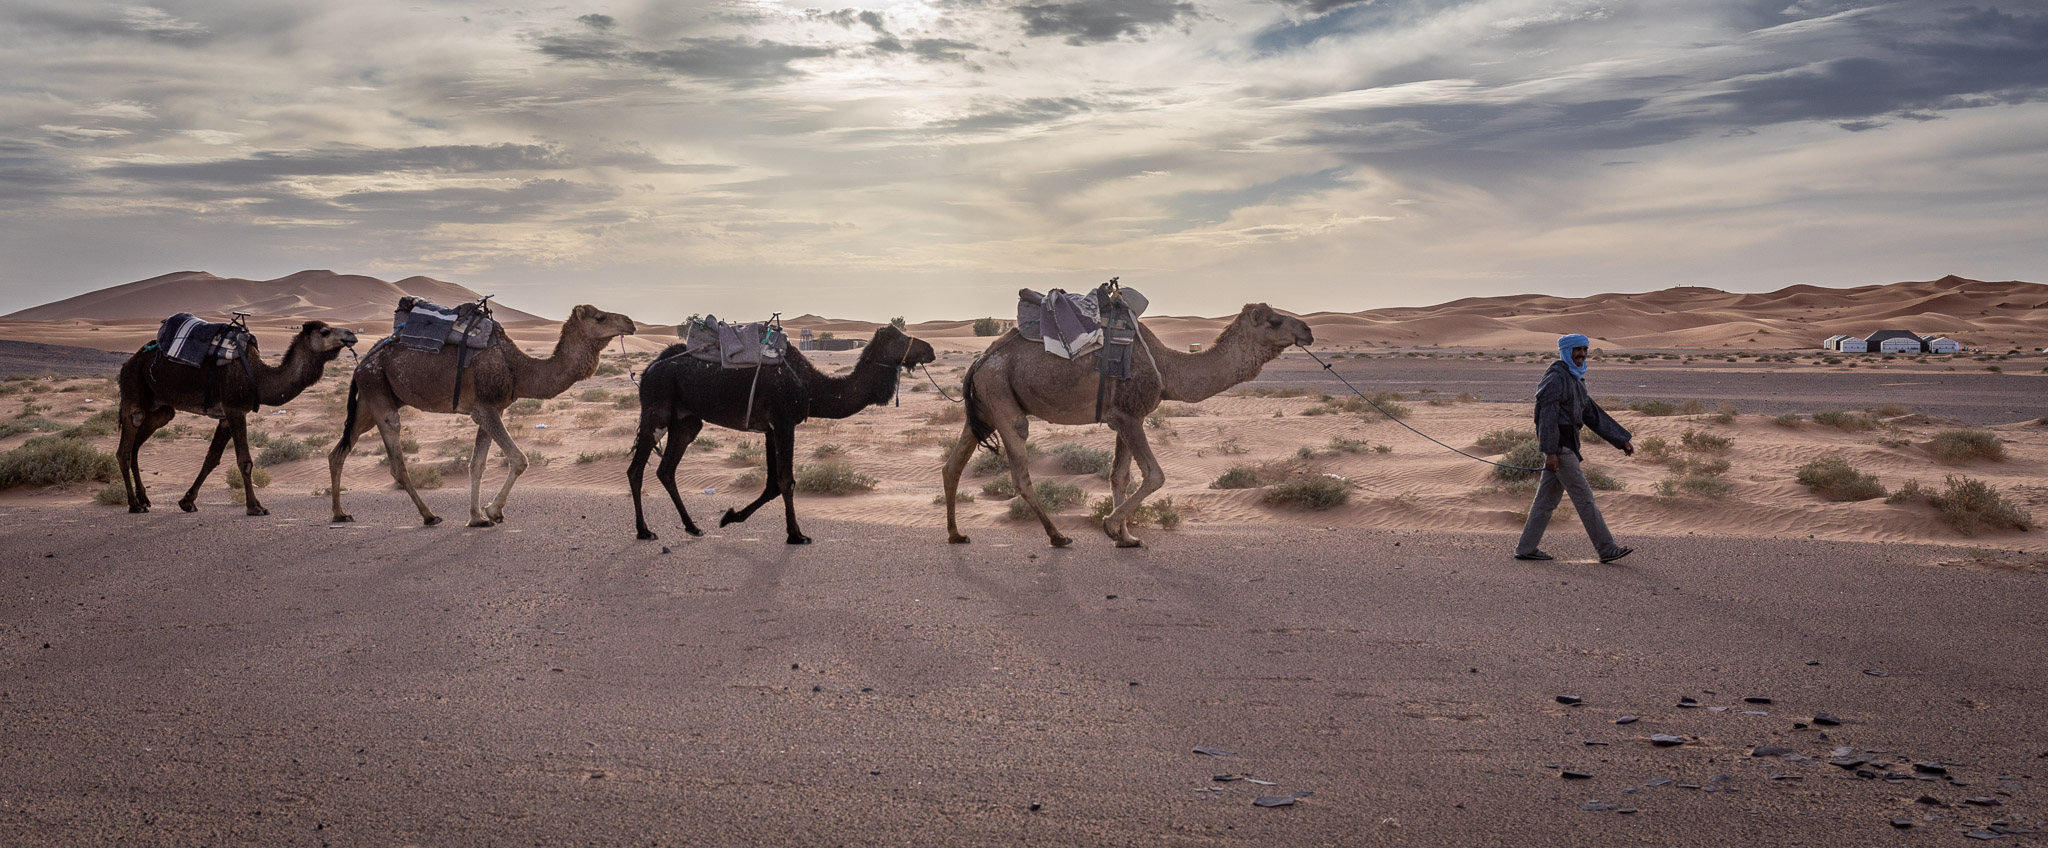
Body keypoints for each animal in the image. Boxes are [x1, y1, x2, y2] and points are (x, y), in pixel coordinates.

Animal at [115, 319, 360, 514]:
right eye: (325, 332)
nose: (351, 334)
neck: (259, 377)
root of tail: (129, 362)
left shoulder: (225, 416)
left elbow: (212, 458)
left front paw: (187, 501)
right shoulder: (234, 409)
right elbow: (245, 461)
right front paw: (255, 507)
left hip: (161, 408)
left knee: (137, 445)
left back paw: (144, 499)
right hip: (133, 389)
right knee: (125, 447)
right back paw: (134, 504)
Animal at [327, 305, 634, 528]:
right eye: (600, 317)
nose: (630, 322)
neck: (519, 370)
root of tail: (362, 362)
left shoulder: (491, 409)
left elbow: (477, 465)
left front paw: (476, 518)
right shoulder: (485, 409)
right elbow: (519, 459)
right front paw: (493, 511)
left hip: (369, 400)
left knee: (338, 451)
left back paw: (339, 514)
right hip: (377, 389)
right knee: (395, 456)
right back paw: (429, 515)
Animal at [626, 323, 937, 544]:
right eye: (898, 338)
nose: (930, 349)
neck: (812, 387)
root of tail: (649, 368)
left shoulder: (769, 429)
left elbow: (772, 485)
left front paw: (730, 517)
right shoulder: (785, 422)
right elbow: (787, 480)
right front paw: (797, 535)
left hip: (686, 421)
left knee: (666, 469)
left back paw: (693, 527)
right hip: (657, 409)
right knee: (636, 469)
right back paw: (644, 531)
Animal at [942, 305, 1310, 548]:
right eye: (1275, 320)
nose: (1307, 330)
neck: (1167, 368)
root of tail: (979, 362)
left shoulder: (1122, 418)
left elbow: (1120, 475)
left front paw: (1127, 537)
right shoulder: (1129, 416)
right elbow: (1155, 475)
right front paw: (1110, 525)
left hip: (984, 408)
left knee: (952, 466)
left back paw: (956, 534)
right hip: (1003, 401)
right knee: (1020, 472)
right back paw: (1058, 536)